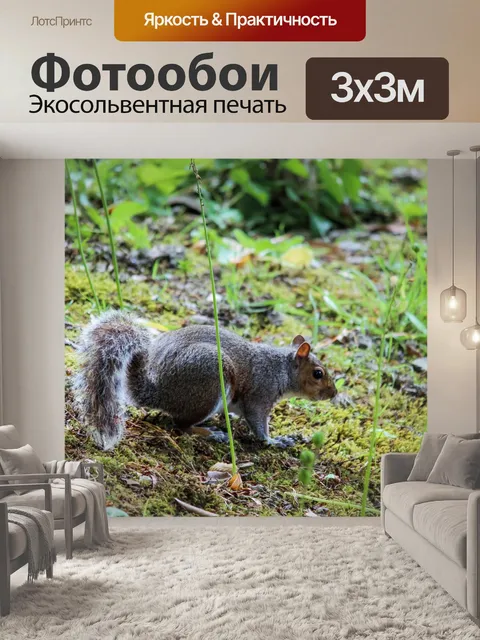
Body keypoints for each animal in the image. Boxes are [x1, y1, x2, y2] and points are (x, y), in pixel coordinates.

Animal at [74, 310, 337, 451]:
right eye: (318, 373)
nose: (333, 394)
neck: (281, 369)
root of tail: (156, 390)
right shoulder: (261, 393)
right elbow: (258, 423)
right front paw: (275, 441)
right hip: (209, 383)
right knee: (180, 425)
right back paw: (210, 433)